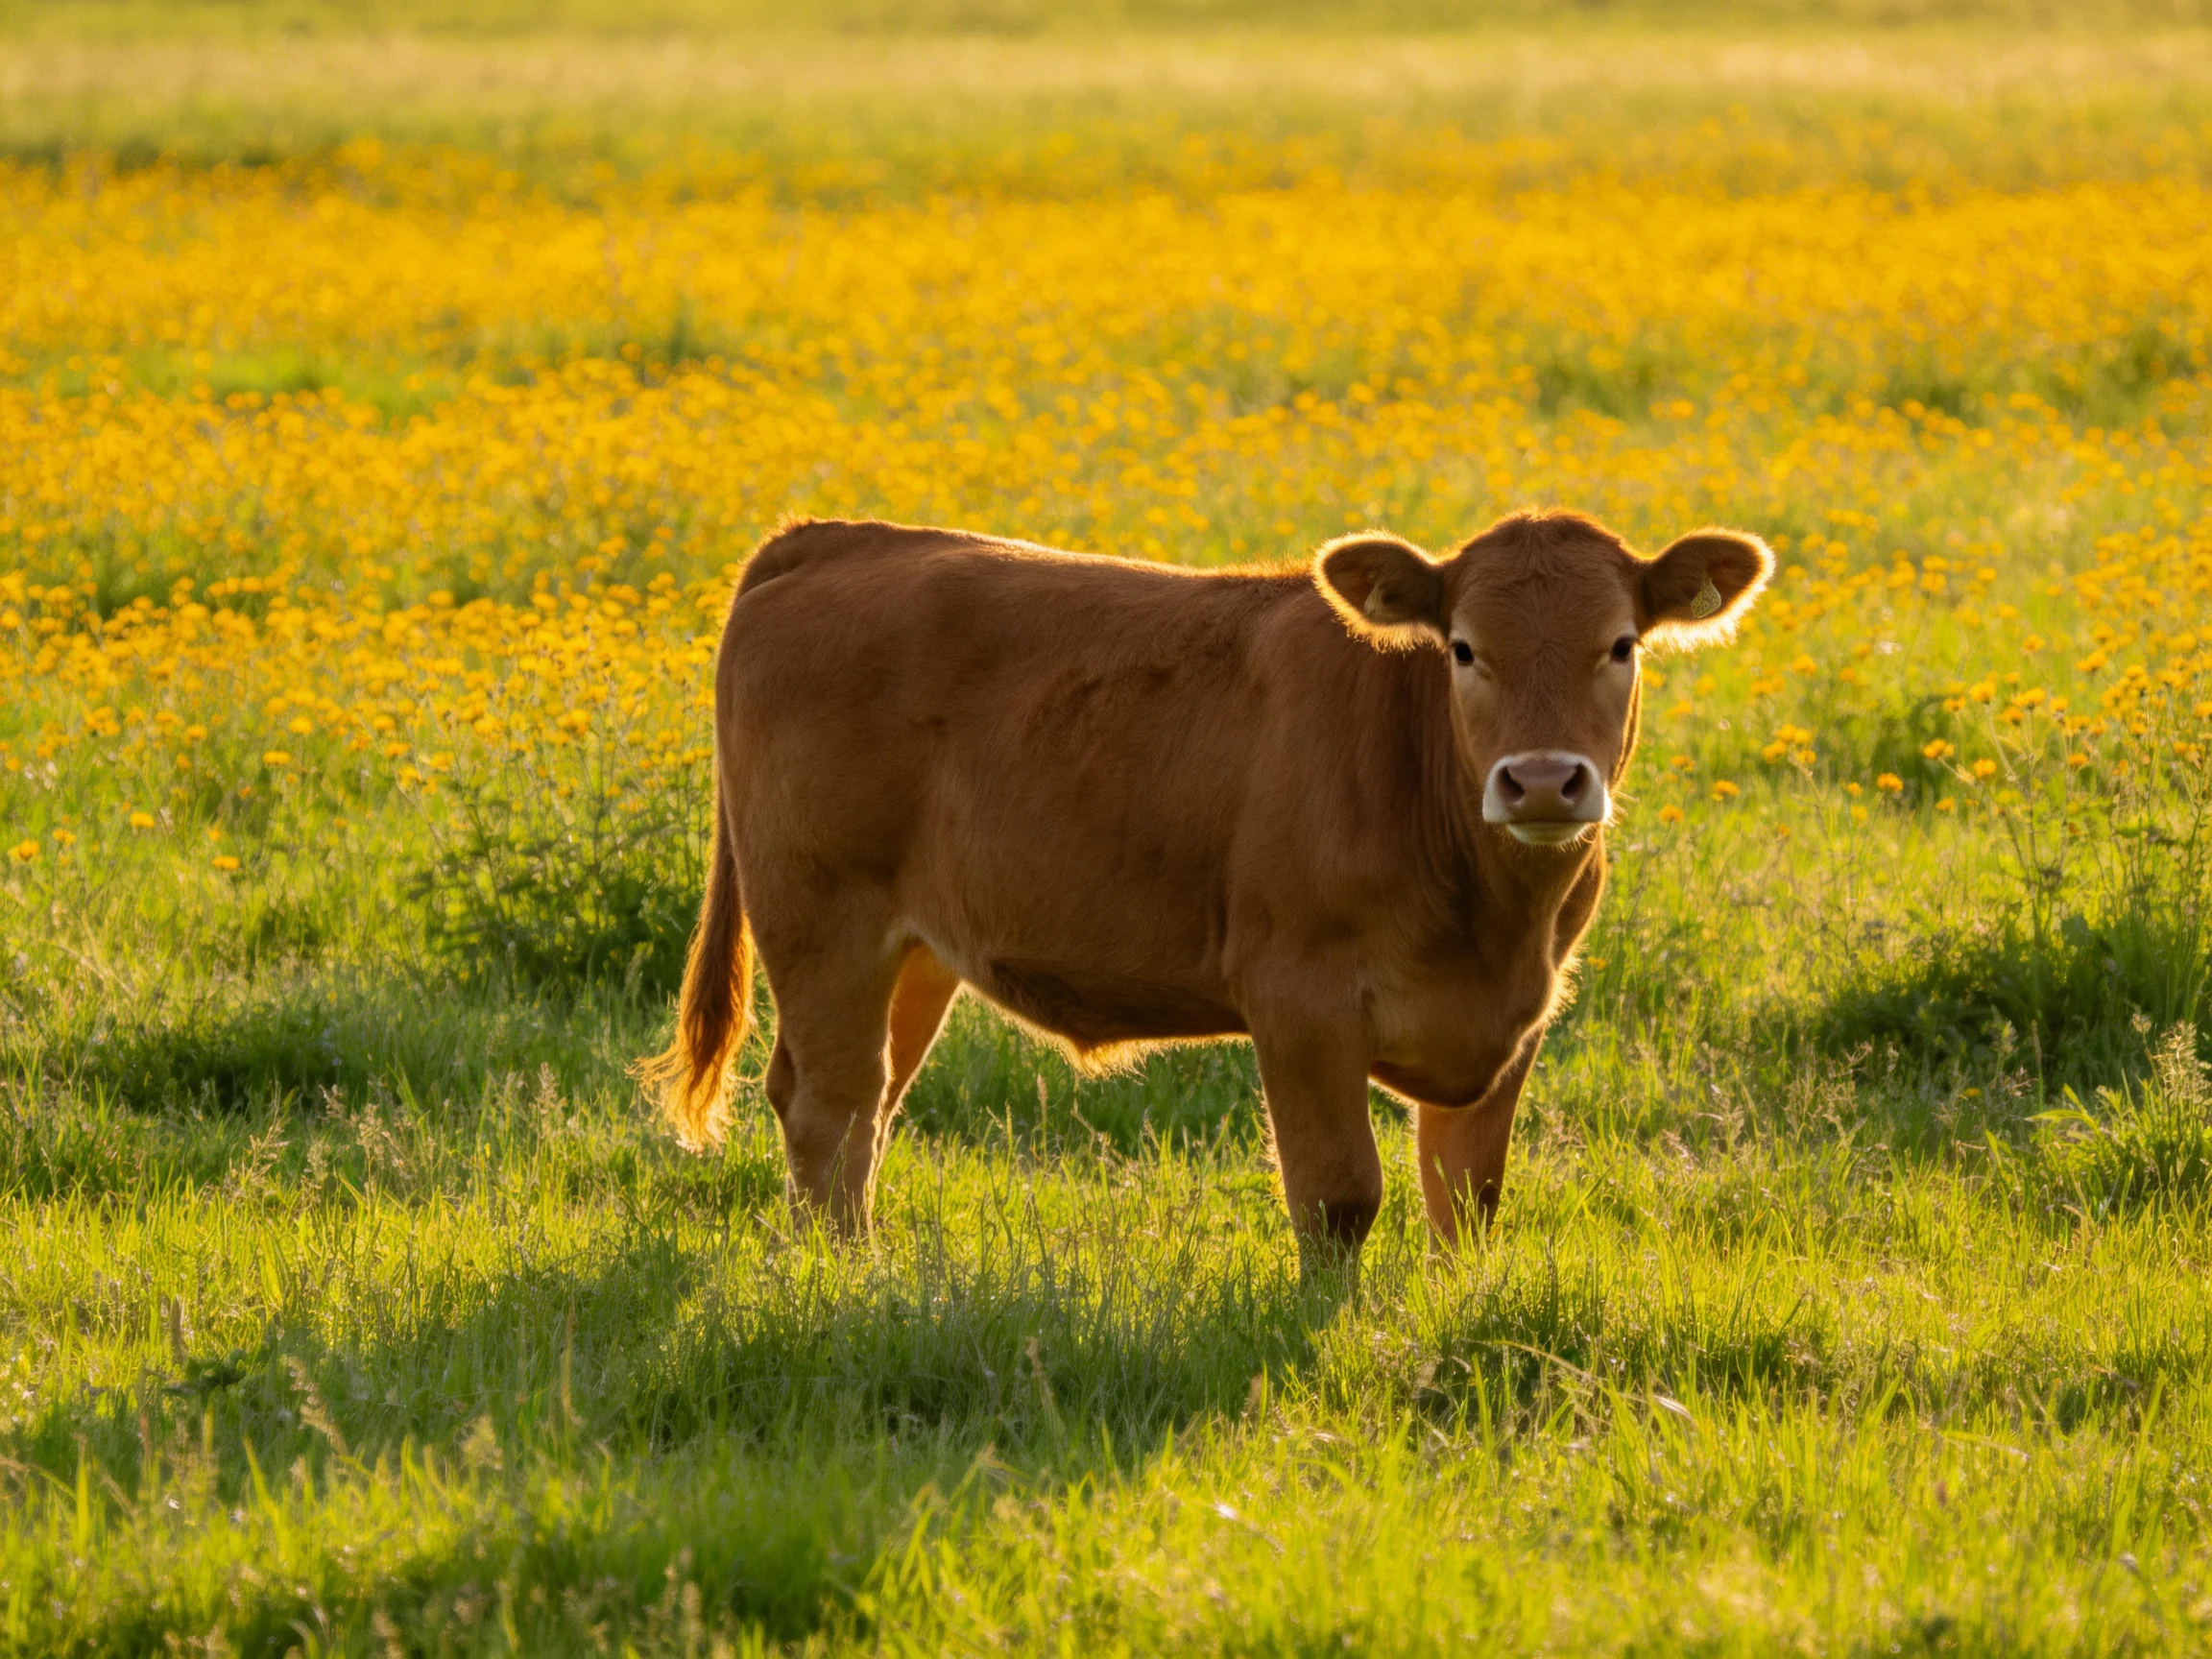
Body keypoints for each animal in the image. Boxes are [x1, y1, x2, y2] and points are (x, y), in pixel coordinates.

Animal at [640, 509, 1769, 1267]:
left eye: (1619, 645)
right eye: (1463, 648)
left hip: (916, 950)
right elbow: (1338, 1195)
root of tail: (837, 537)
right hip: (825, 918)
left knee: (860, 1104)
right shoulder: (1298, 996)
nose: (1540, 780)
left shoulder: (1516, 1020)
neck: (1492, 920)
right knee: (830, 1105)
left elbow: (1467, 1199)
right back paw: (846, 1276)